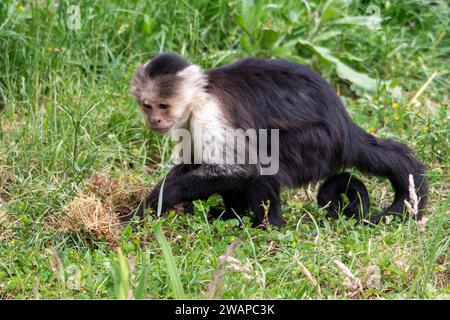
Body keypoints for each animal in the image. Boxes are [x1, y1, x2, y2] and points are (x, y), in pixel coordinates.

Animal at [128, 53, 428, 228]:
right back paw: (232, 217)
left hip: (315, 145)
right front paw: (149, 203)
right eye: (147, 105)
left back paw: (267, 226)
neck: (200, 95)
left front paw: (164, 197)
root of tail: (347, 130)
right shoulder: (188, 123)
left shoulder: (208, 113)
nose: (154, 120)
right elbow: (195, 162)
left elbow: (242, 168)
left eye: (163, 105)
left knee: (263, 155)